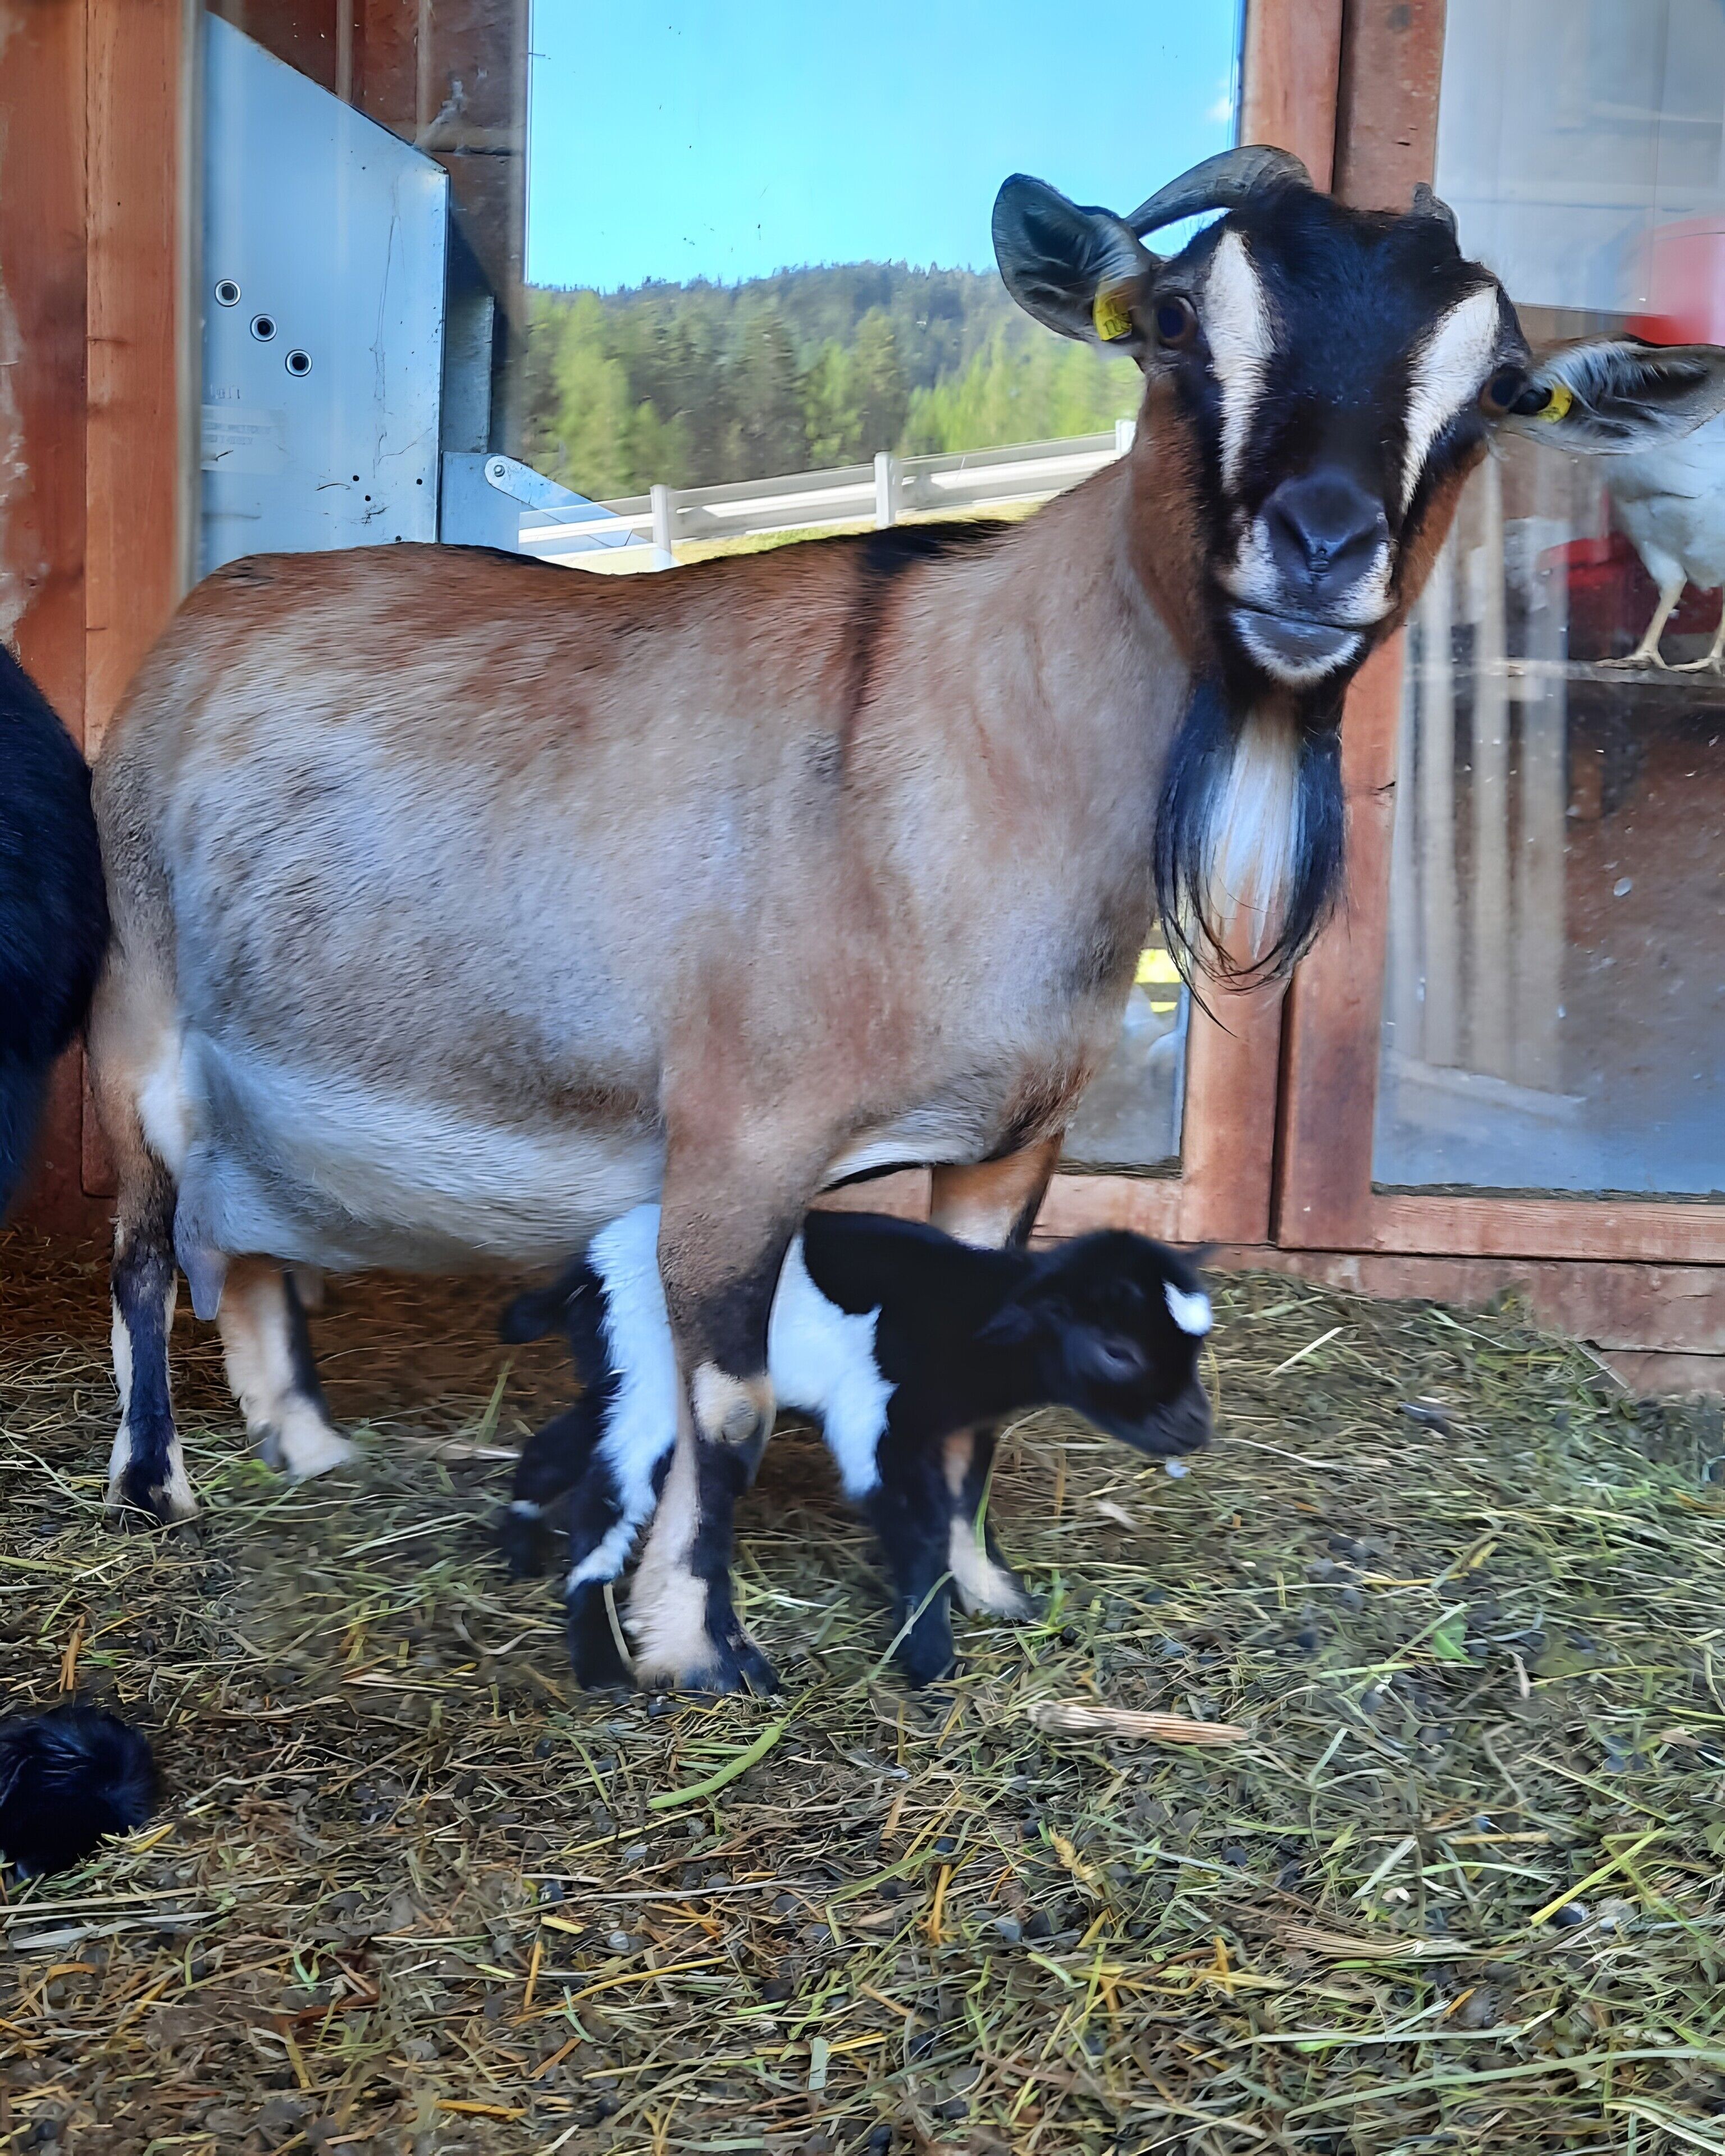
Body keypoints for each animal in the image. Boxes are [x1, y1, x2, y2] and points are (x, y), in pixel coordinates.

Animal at [496, 1206, 1213, 1688]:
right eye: (1117, 1351)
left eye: (1197, 1344)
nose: (1195, 1428)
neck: (964, 1319)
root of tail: (589, 1268)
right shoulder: (873, 1412)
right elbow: (919, 1528)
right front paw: (930, 1660)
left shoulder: (947, 1428)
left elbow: (964, 1511)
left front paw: (1001, 1601)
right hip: (651, 1373)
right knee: (605, 1495)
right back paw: (600, 1665)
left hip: (618, 1372)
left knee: (559, 1446)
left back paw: (519, 1547)